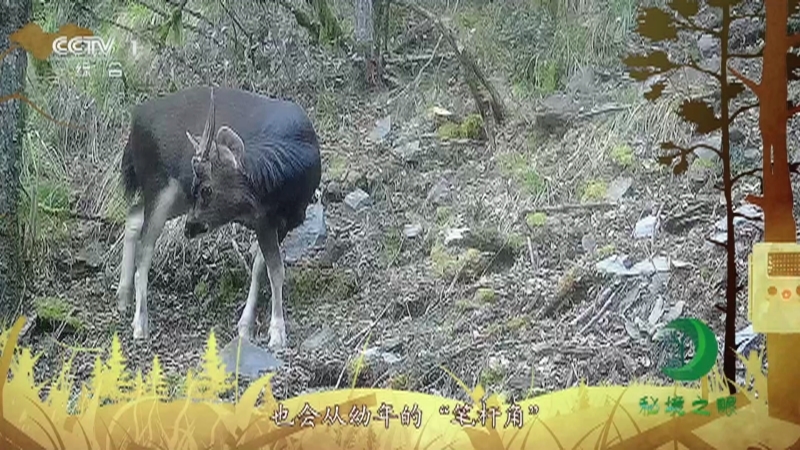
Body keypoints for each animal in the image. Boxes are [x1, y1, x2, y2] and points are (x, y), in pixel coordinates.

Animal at [116, 86, 322, 350]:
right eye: (198, 187)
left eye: (205, 189)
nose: (189, 228)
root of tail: (134, 123)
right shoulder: (264, 220)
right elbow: (275, 270)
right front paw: (277, 333)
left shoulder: (279, 222)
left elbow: (261, 266)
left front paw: (246, 325)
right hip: (159, 185)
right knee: (146, 248)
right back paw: (140, 323)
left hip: (175, 197)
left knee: (132, 215)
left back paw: (123, 298)